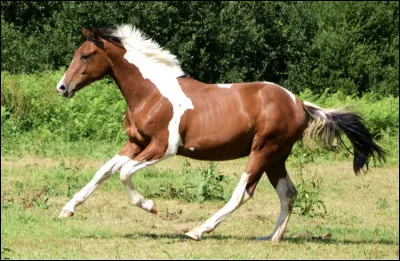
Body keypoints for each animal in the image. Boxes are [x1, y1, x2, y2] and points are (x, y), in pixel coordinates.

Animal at [54, 25, 386, 241]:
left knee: (243, 192)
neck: (152, 93)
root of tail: (299, 103)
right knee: (288, 193)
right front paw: (67, 209)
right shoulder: (135, 143)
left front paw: (151, 207)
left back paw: (198, 231)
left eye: (85, 55)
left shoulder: (163, 146)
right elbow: (103, 172)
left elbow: (123, 174)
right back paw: (271, 237)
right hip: (276, 157)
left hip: (262, 151)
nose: (62, 87)